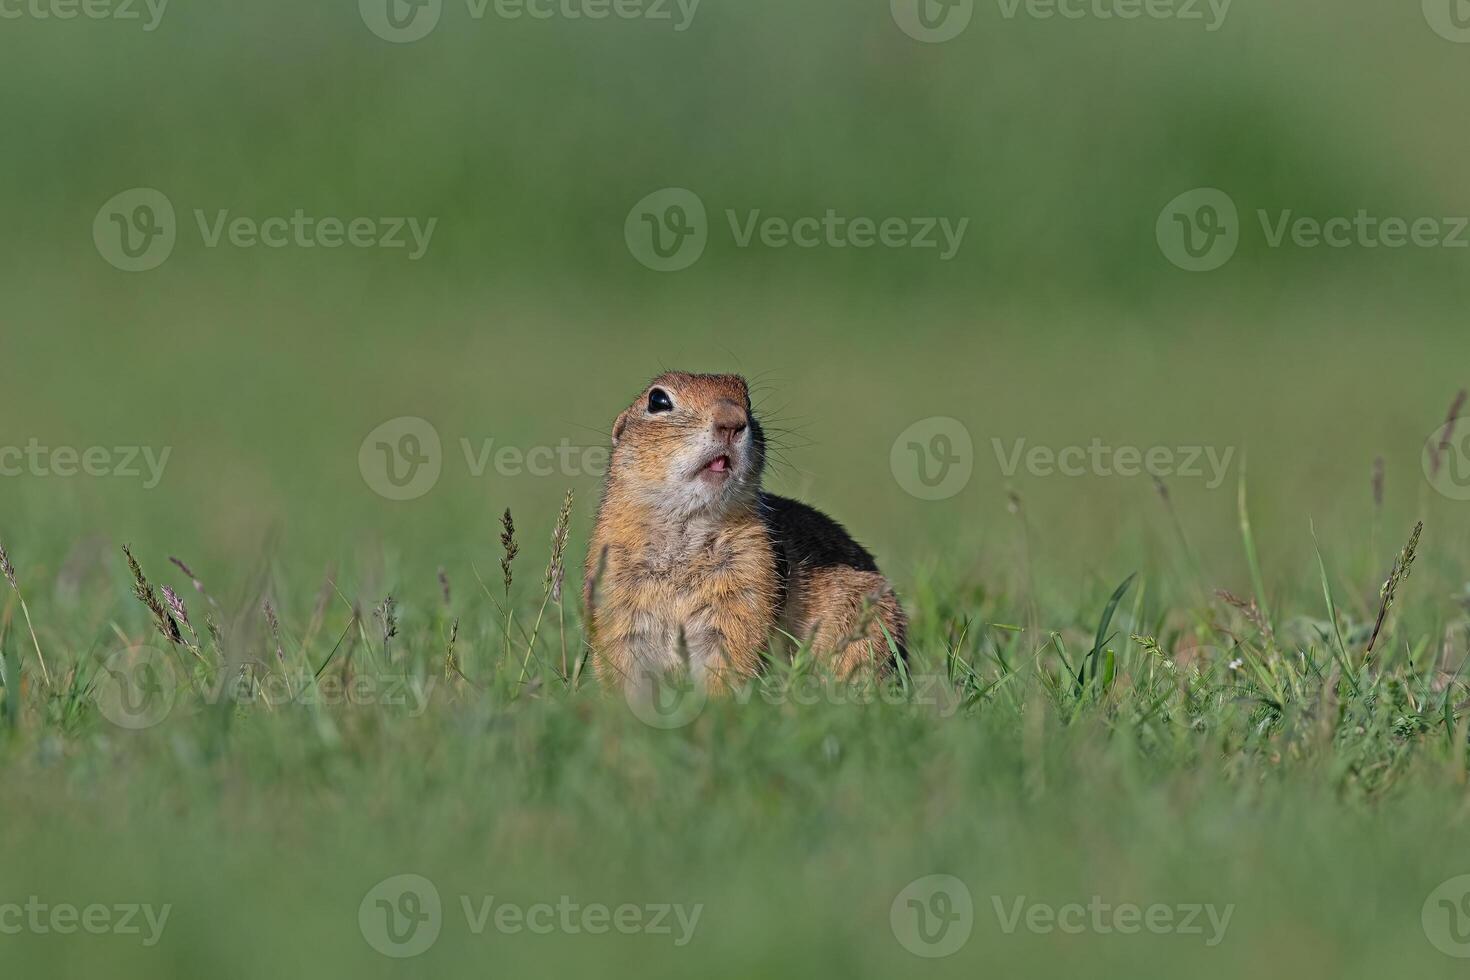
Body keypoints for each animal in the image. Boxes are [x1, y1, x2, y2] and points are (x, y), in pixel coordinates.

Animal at [585, 371, 905, 693]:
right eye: (657, 400)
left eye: (747, 400)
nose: (732, 420)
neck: (687, 526)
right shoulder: (614, 590)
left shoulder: (749, 581)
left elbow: (731, 654)